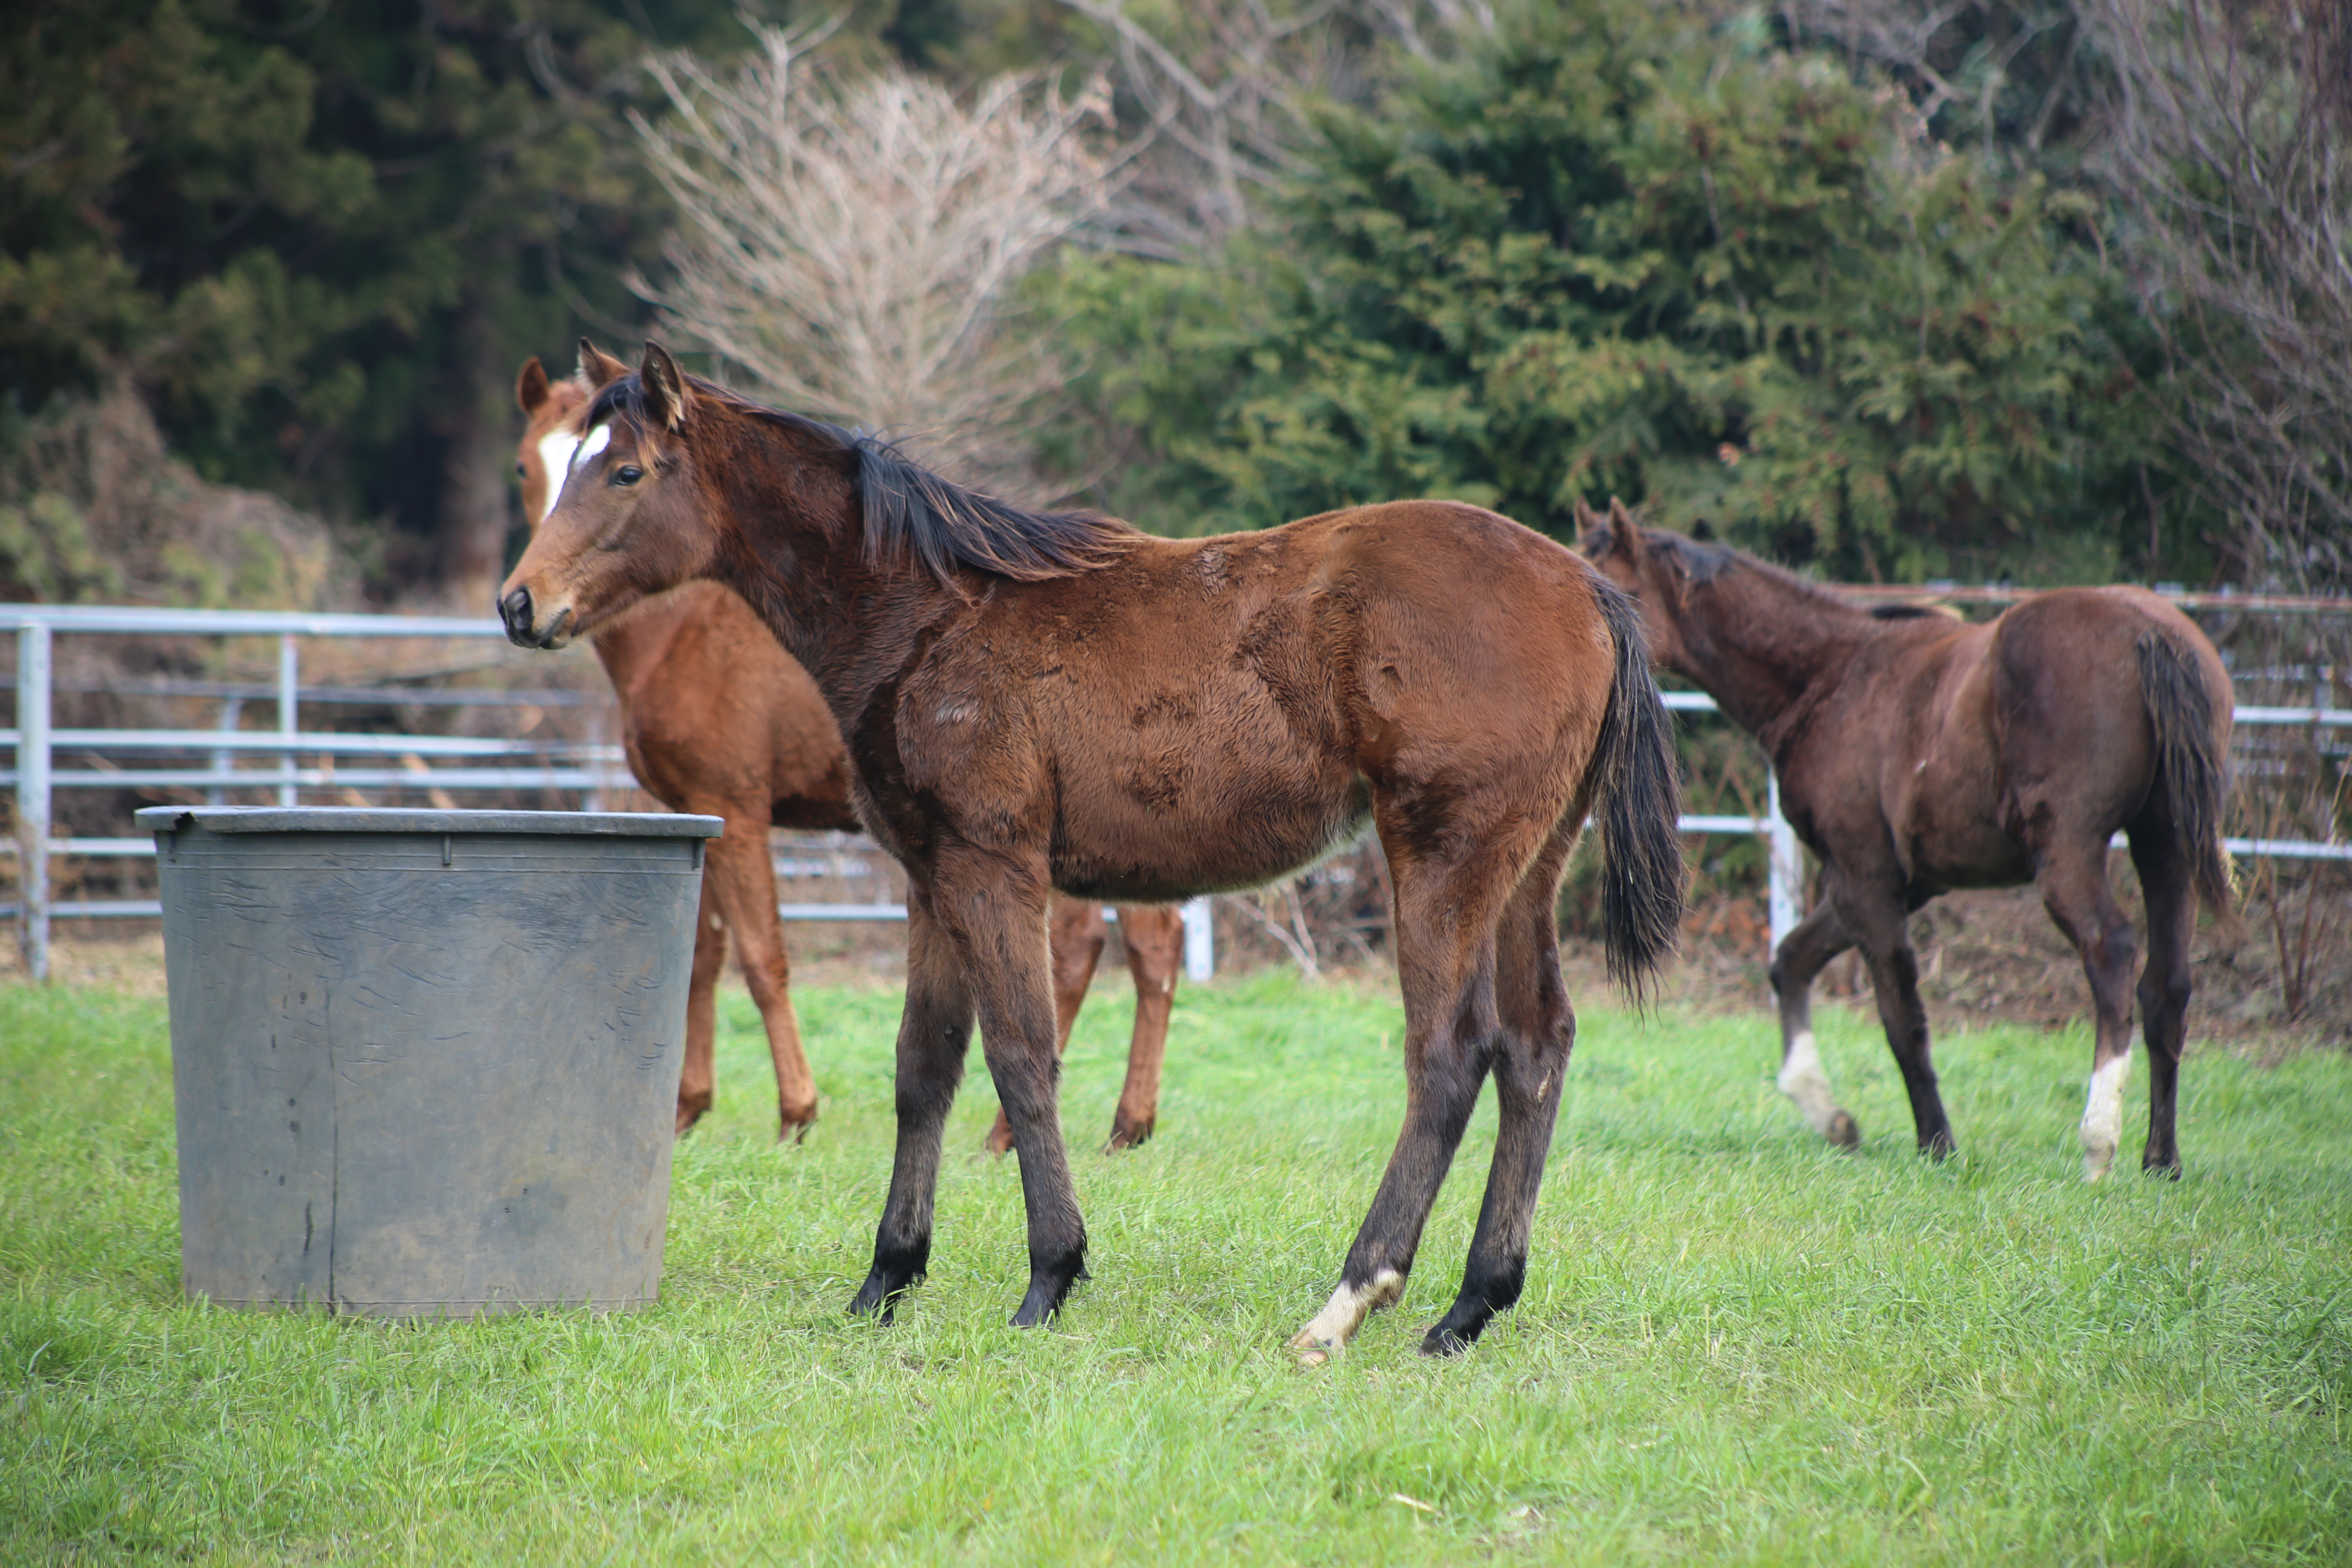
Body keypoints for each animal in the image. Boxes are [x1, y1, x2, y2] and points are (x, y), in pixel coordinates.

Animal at [510, 350, 1176, 1147]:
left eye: (625, 473)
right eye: (525, 467)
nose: (524, 603)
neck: (682, 635)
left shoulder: (735, 807)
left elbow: (762, 958)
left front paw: (797, 1113)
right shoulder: (694, 816)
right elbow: (701, 956)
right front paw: (688, 1107)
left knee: (1107, 951)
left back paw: (1047, 1129)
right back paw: (1097, 1126)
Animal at [1571, 510, 2230, 1185]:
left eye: (1619, 588)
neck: (1831, 678)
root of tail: (2152, 633)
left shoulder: (1863, 879)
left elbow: (1901, 1019)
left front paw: (1936, 1142)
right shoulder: (1896, 882)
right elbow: (1792, 961)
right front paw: (1829, 1114)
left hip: (2069, 853)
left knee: (2111, 954)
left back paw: (2099, 1144)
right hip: (2166, 847)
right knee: (2167, 988)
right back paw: (2161, 1160)